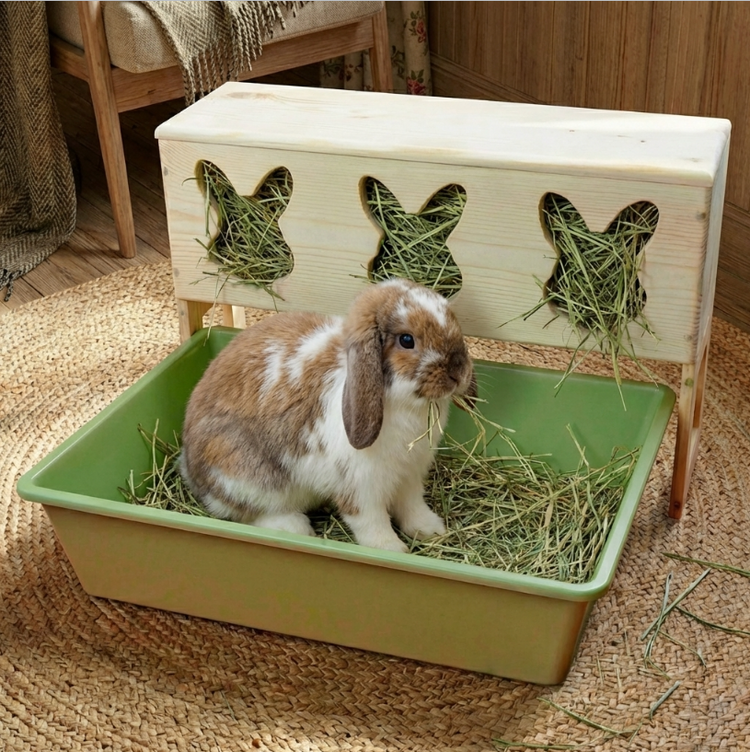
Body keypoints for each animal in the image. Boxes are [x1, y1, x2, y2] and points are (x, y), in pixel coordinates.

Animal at [179, 278, 477, 553]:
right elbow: (371, 521)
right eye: (407, 340)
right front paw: (391, 549)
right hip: (243, 475)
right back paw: (294, 527)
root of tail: (189, 469)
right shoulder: (360, 486)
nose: (458, 371)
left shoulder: (411, 475)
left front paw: (431, 530)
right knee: (244, 513)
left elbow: (412, 506)